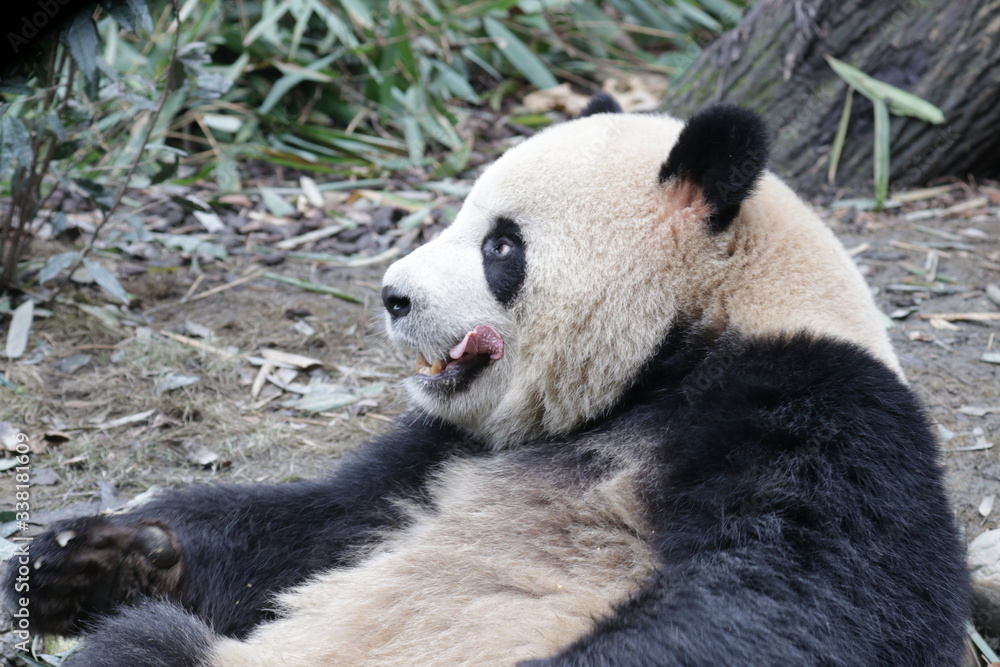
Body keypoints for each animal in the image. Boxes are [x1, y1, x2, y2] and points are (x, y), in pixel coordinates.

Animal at [7, 94, 969, 666]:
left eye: (500, 245)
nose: (394, 294)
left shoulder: (817, 412)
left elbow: (794, 599)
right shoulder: (448, 448)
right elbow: (325, 523)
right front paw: (88, 555)